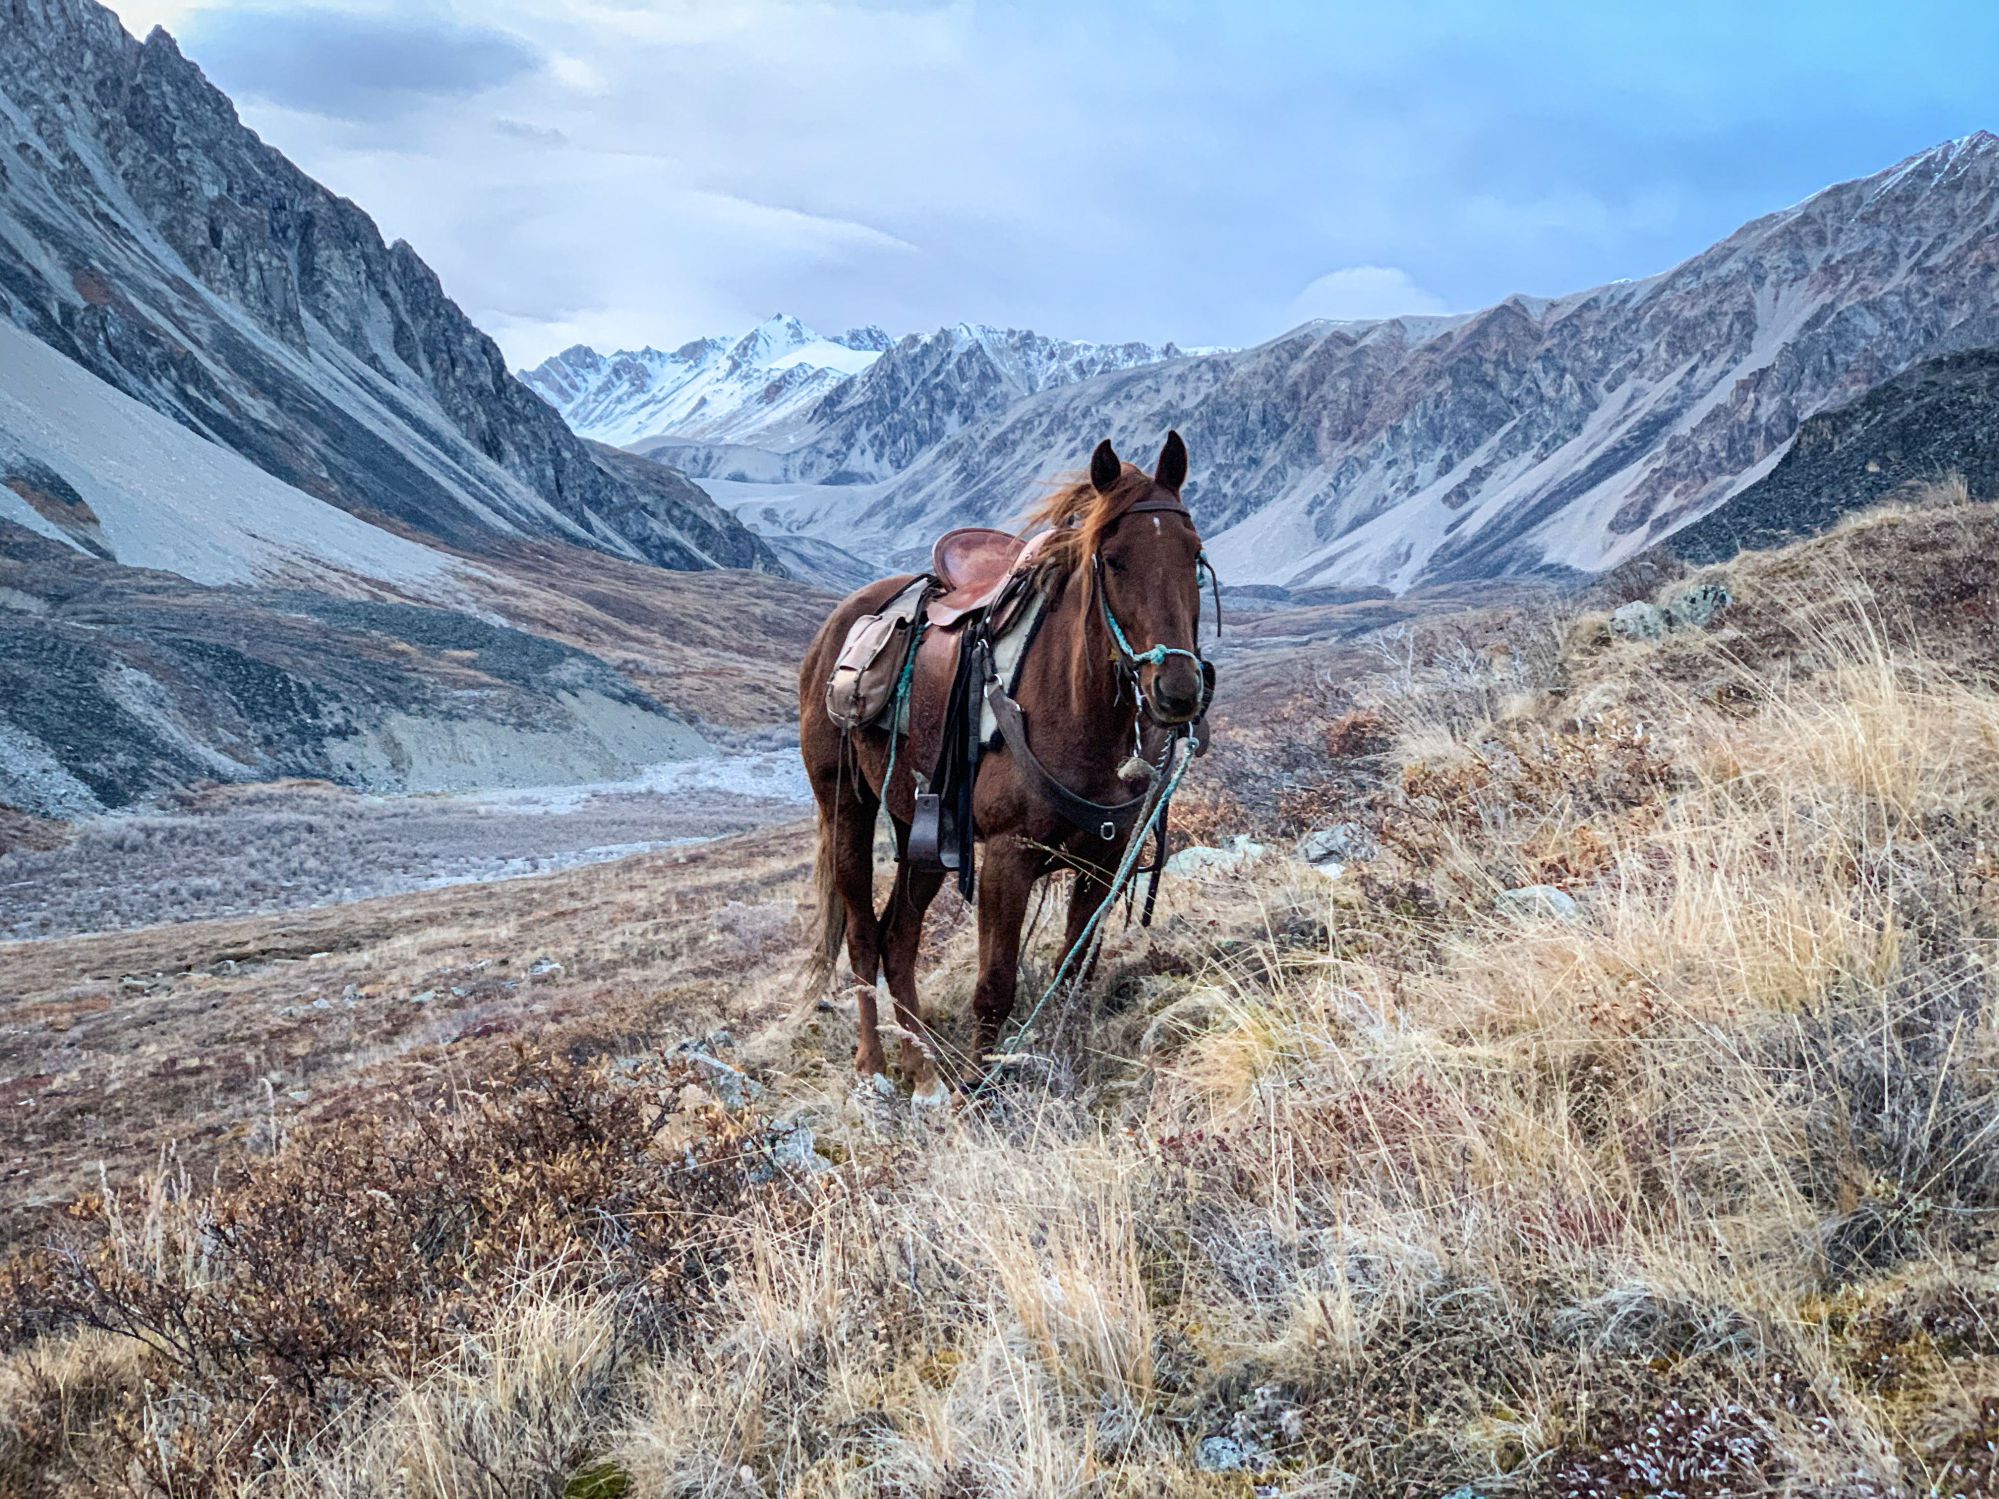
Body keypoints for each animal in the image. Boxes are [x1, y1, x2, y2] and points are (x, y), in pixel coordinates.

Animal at [799, 431, 1207, 1103]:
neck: (1074, 707)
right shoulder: (1007, 860)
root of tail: (834, 627)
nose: (1176, 691)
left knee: (898, 937)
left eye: (1194, 555)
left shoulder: (1103, 861)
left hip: (923, 832)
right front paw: (981, 1089)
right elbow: (995, 985)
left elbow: (1074, 971)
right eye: (1113, 558)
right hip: (847, 811)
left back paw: (925, 1068)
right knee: (862, 936)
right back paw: (876, 1065)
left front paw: (1062, 1069)